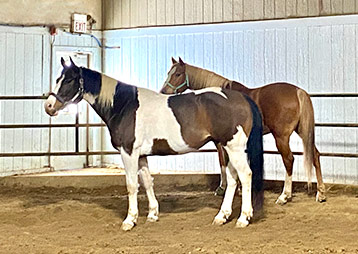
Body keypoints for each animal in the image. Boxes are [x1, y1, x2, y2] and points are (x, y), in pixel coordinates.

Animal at [44, 57, 264, 230]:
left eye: (69, 80)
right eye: (57, 79)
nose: (49, 106)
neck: (124, 105)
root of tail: (241, 98)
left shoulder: (128, 152)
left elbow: (131, 185)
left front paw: (130, 220)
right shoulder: (141, 155)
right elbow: (147, 182)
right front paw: (152, 214)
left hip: (234, 148)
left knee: (245, 176)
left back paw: (243, 218)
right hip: (226, 147)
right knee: (233, 179)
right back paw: (222, 216)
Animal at [161, 57, 326, 204]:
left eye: (177, 74)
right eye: (169, 72)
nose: (163, 91)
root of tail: (298, 91)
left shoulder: (221, 141)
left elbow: (224, 161)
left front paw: (224, 188)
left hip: (281, 137)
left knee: (289, 160)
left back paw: (284, 196)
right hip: (303, 132)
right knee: (315, 155)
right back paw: (320, 193)